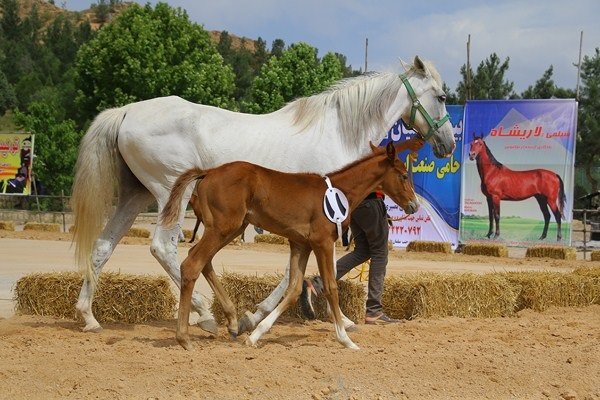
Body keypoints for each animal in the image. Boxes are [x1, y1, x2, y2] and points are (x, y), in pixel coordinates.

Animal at [161, 139, 422, 348]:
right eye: (404, 175)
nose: (414, 205)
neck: (340, 191)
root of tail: (208, 172)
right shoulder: (322, 242)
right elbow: (330, 286)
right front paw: (345, 339)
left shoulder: (300, 244)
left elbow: (294, 289)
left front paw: (255, 336)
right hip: (223, 227)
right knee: (192, 264)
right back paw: (184, 338)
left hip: (231, 228)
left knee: (205, 262)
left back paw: (233, 323)